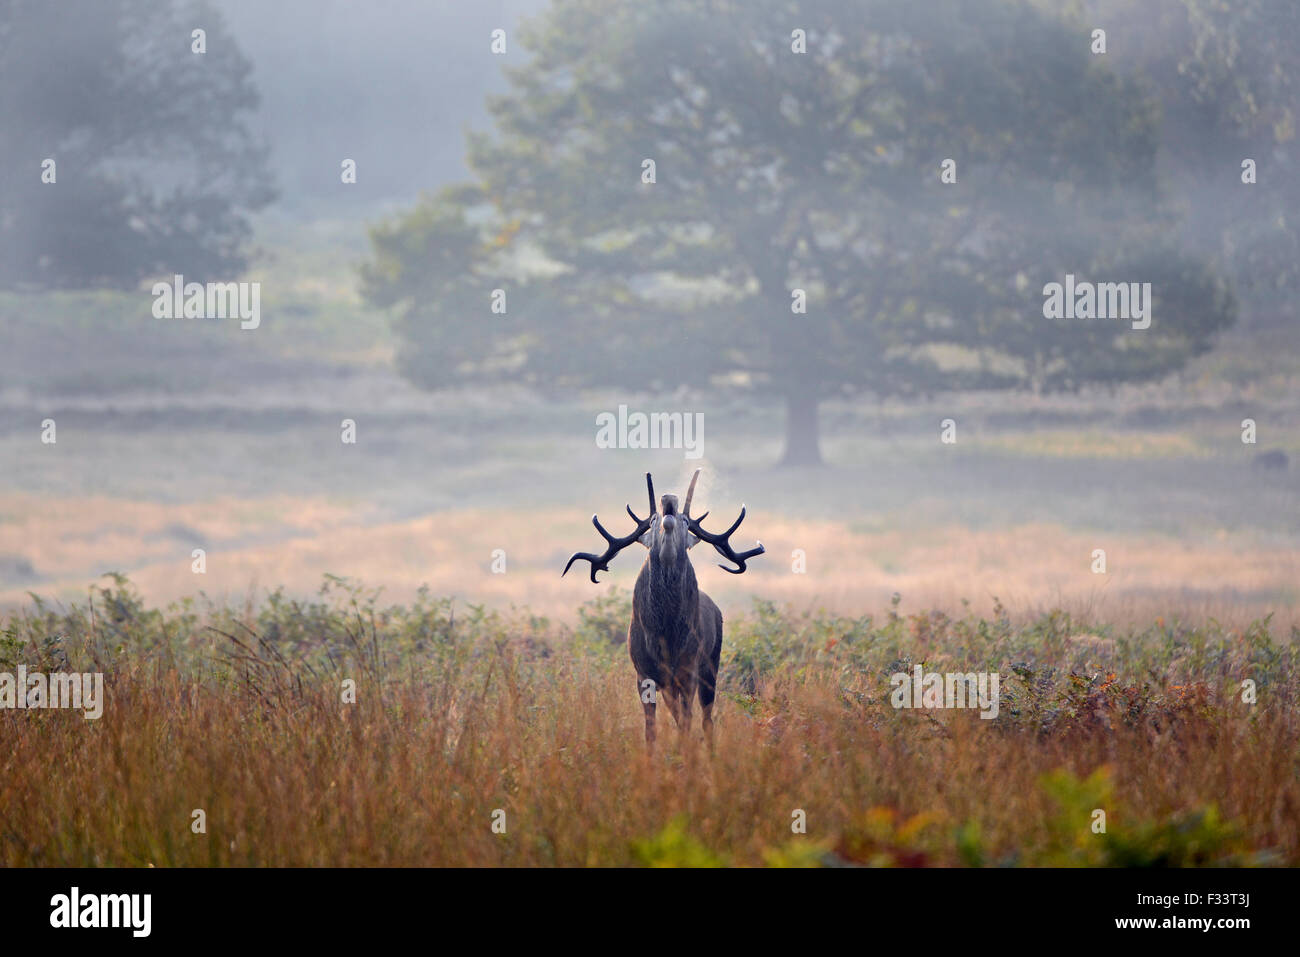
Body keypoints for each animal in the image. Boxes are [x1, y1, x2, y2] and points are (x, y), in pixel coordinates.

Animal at [563, 469, 764, 748]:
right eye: (652, 520)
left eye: (686, 521)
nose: (669, 499)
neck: (666, 636)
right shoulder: (643, 673)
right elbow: (651, 729)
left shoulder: (689, 670)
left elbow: (687, 720)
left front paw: (687, 750)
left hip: (711, 664)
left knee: (706, 718)